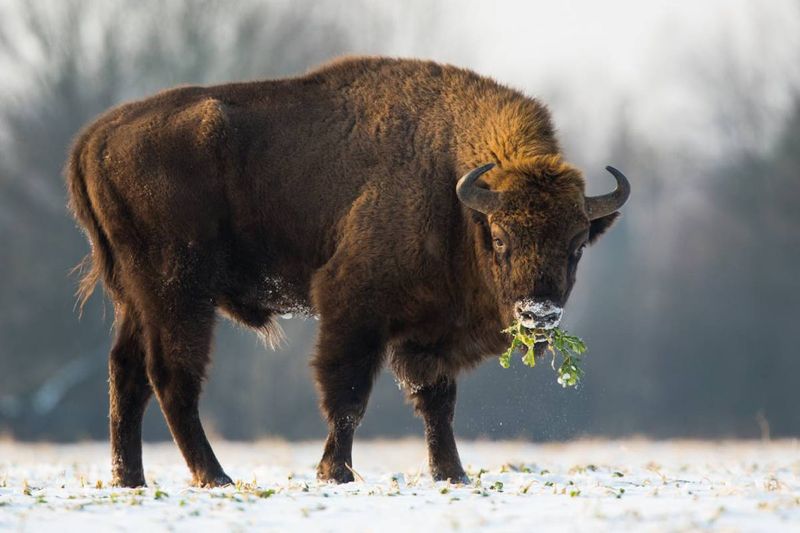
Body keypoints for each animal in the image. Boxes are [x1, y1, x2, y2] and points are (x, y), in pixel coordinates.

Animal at [67, 55, 632, 486]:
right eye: (499, 239)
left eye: (577, 246)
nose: (539, 315)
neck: (454, 194)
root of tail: (94, 138)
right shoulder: (354, 310)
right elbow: (349, 395)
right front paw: (334, 472)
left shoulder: (428, 333)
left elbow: (437, 402)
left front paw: (451, 474)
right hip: (179, 294)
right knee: (171, 376)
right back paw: (215, 477)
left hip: (137, 299)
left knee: (126, 374)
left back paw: (130, 479)